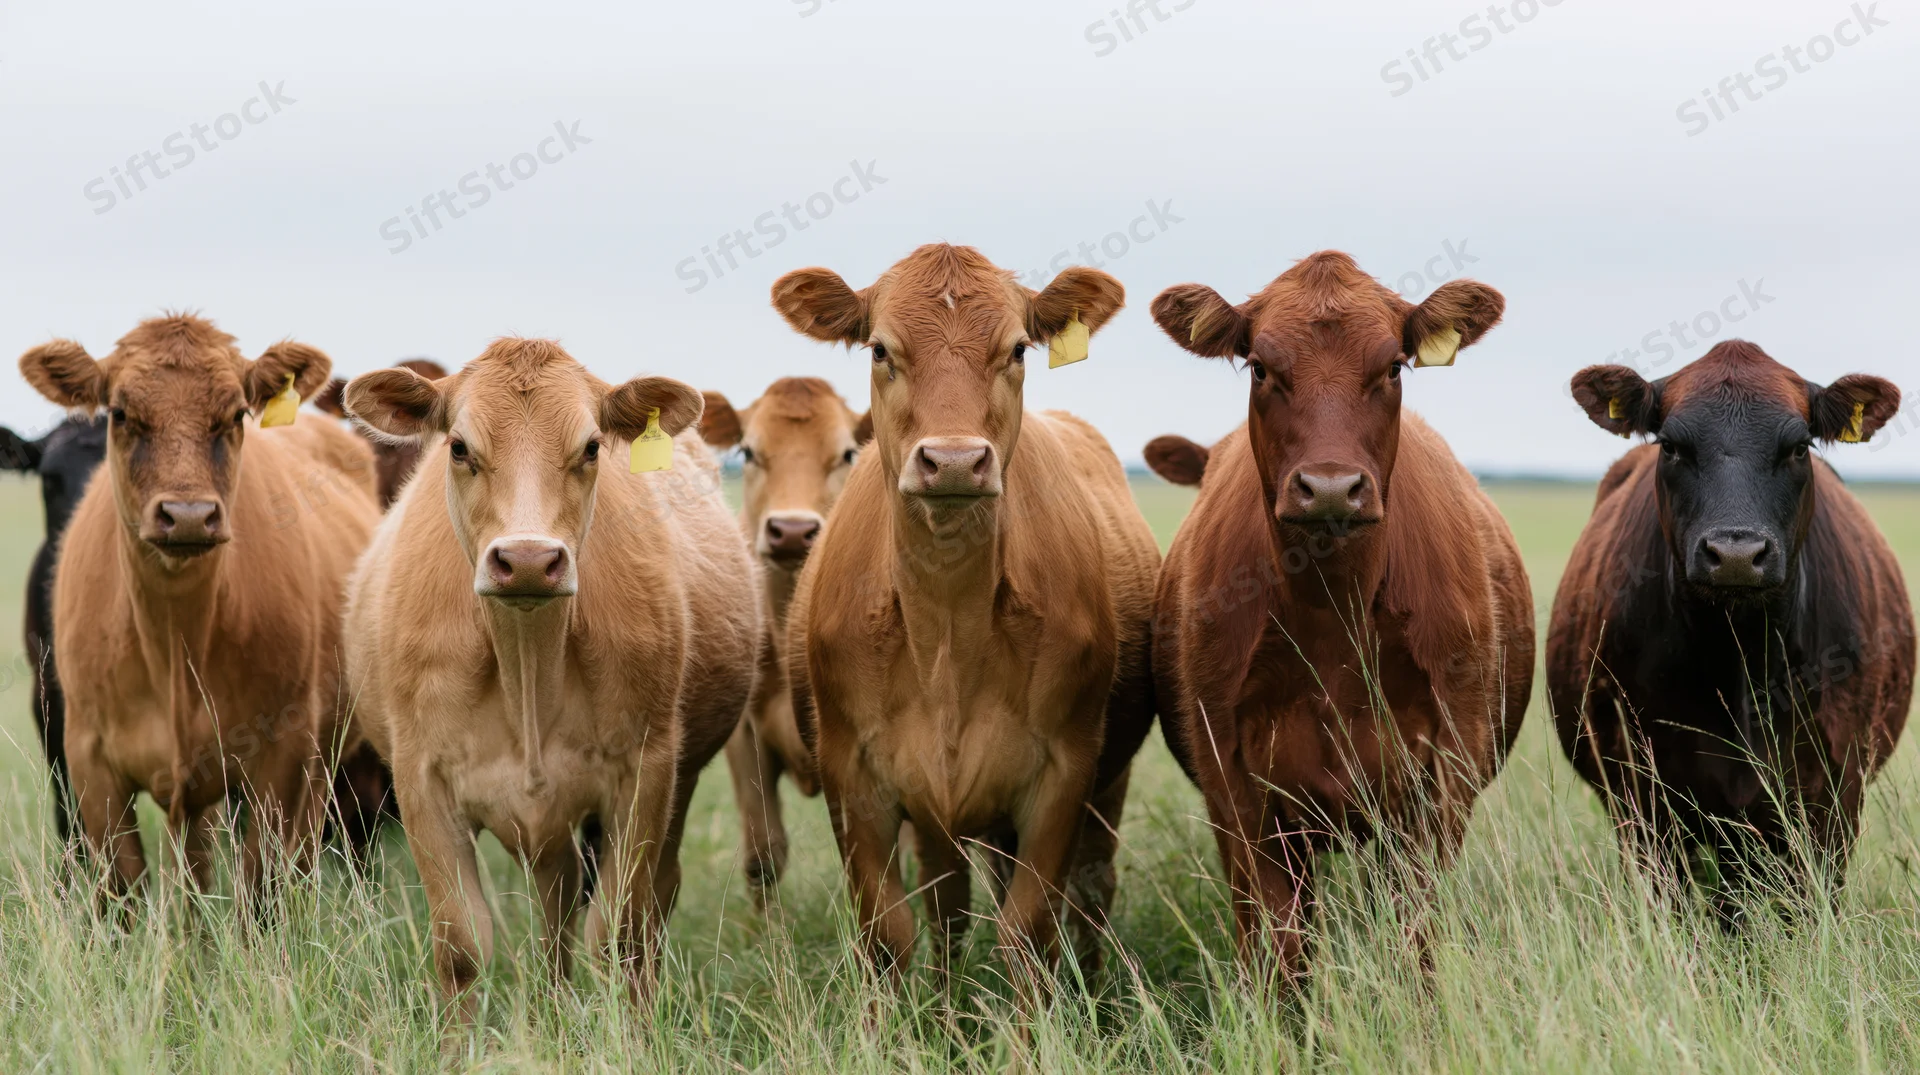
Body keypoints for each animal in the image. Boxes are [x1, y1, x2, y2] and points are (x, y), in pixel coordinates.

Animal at [16, 314, 381, 902]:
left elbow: (261, 889)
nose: (187, 515)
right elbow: (123, 885)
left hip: (322, 760)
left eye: (236, 414)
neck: (172, 639)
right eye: (120, 412)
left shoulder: (283, 756)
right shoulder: (86, 757)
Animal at [340, 339, 758, 1015]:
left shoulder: (646, 770)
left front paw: (633, 1033)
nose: (530, 559)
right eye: (459, 447)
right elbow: (461, 946)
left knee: (642, 902)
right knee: (554, 910)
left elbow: (619, 933)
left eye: (591, 447)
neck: (527, 666)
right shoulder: (420, 776)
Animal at [771, 243, 1161, 994]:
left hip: (1105, 781)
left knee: (1092, 890)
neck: (947, 633)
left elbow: (1027, 929)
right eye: (880, 348)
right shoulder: (853, 775)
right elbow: (889, 934)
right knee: (948, 909)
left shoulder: (1065, 772)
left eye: (1017, 348)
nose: (953, 460)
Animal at [1145, 251, 1534, 988]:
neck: (1330, 617)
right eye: (1260, 367)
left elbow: (1416, 939)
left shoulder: (1444, 773)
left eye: (1393, 367)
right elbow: (1281, 947)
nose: (1329, 486)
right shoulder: (1237, 787)